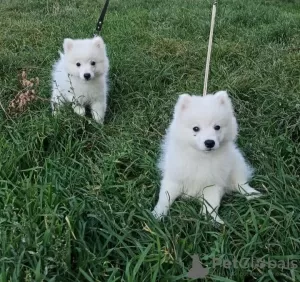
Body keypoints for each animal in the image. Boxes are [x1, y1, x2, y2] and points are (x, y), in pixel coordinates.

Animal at [152, 91, 260, 224]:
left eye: (217, 127)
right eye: (196, 128)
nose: (209, 142)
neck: (201, 157)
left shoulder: (213, 184)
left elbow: (211, 205)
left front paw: (212, 221)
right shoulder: (174, 179)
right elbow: (165, 198)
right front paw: (157, 215)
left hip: (237, 165)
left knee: (240, 184)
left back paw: (252, 194)